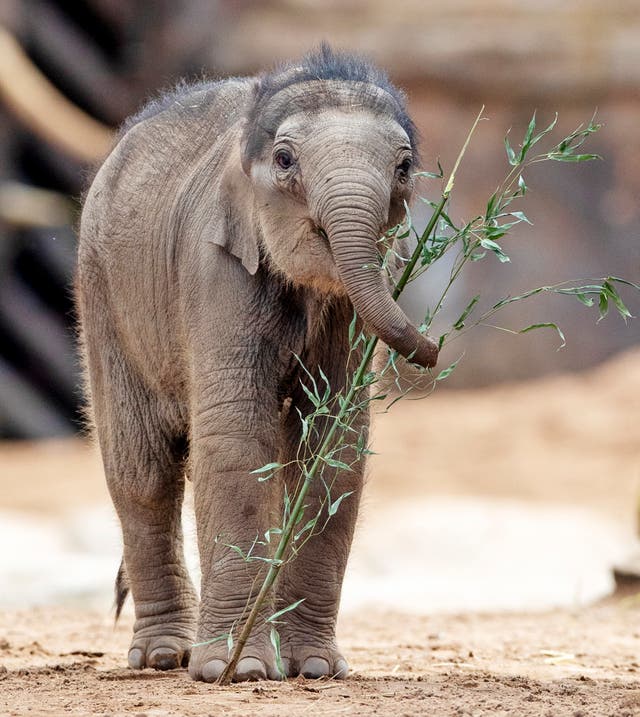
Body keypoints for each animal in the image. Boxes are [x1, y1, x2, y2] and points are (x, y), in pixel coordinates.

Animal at [75, 44, 436, 684]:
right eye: (285, 159)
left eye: (403, 167)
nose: (436, 350)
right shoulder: (213, 266)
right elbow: (238, 438)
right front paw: (236, 671)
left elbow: (334, 446)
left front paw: (313, 669)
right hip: (103, 297)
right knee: (142, 471)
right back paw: (164, 658)